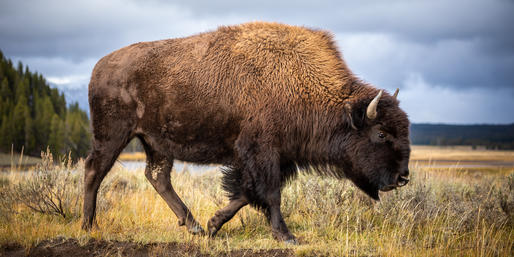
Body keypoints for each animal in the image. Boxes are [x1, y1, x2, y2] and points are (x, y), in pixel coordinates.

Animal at [82, 21, 410, 242]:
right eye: (381, 134)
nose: (403, 178)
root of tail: (99, 67)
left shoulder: (276, 157)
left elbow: (246, 193)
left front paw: (213, 224)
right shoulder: (262, 152)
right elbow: (269, 193)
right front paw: (286, 236)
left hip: (155, 143)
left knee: (157, 177)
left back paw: (194, 225)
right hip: (112, 135)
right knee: (94, 171)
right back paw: (88, 225)